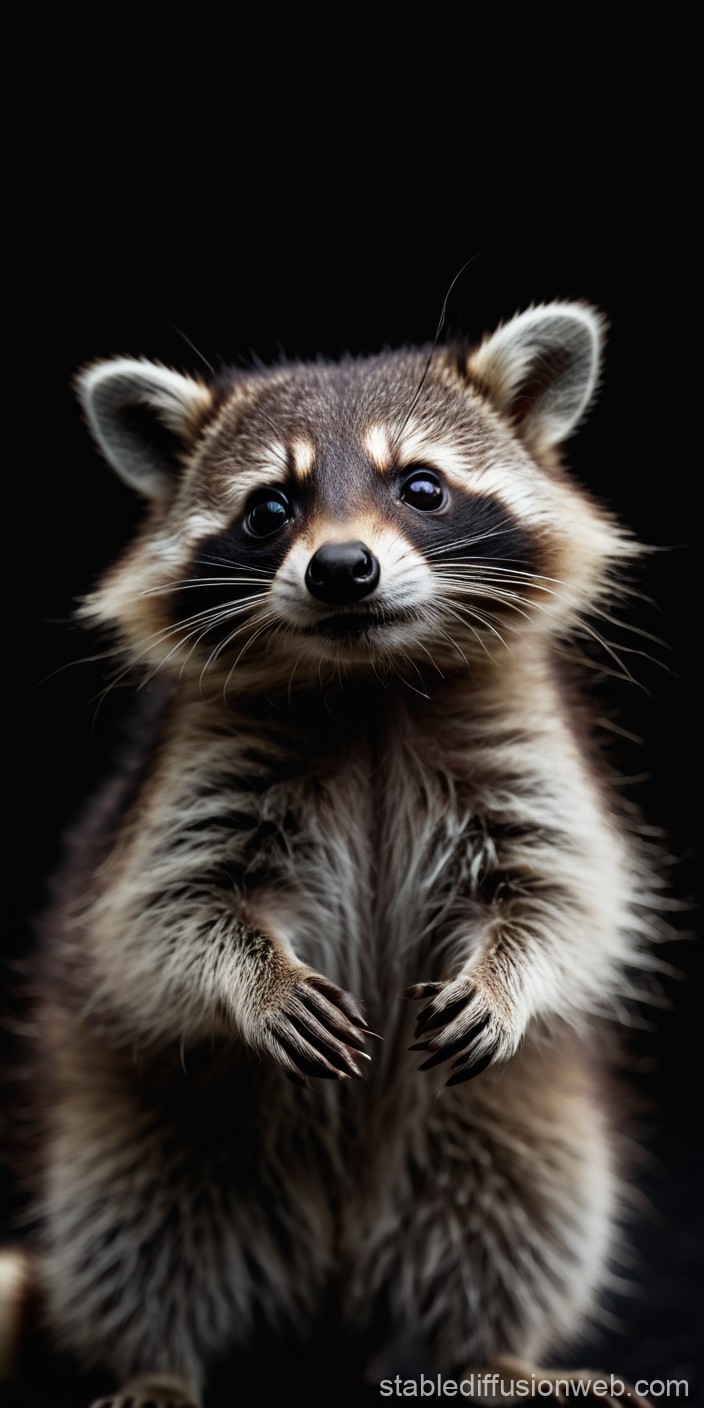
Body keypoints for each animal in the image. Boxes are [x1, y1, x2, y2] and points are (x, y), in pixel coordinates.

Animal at [8, 305, 661, 1406]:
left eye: (421, 487)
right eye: (270, 509)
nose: (342, 568)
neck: (369, 680)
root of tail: (335, 1291)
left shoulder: (530, 756)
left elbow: (562, 895)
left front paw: (510, 975)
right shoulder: (185, 778)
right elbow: (163, 915)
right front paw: (256, 981)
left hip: (509, 1125)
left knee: (524, 1210)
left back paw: (498, 1353)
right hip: (147, 1132)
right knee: (138, 1232)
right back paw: (157, 1363)